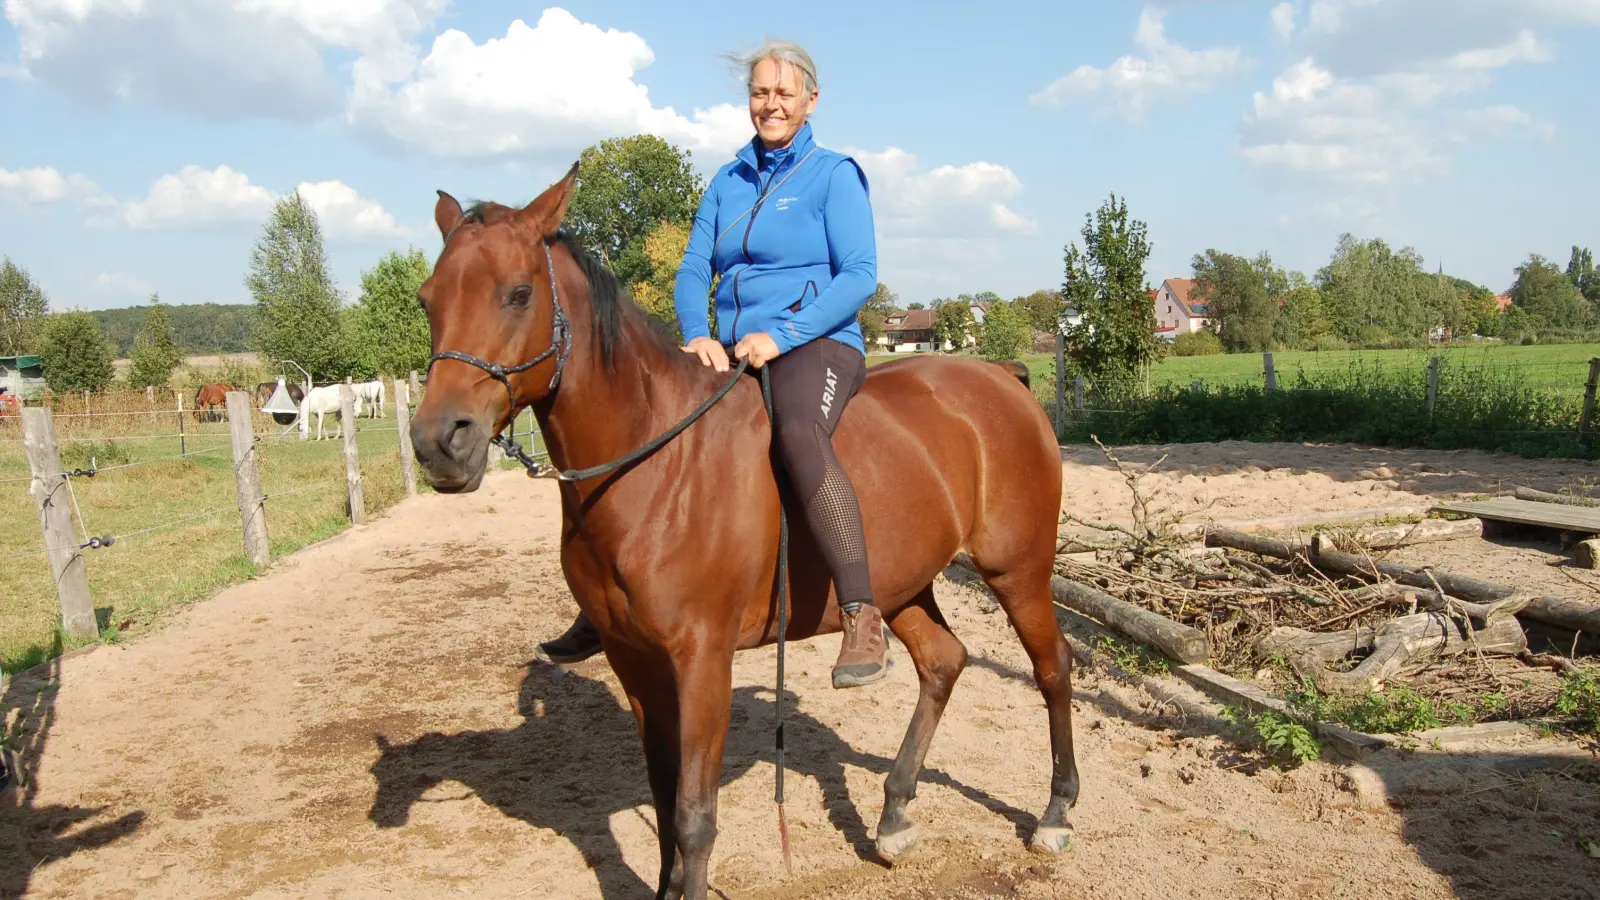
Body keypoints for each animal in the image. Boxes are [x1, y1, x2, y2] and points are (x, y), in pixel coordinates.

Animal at [408, 170, 1076, 900]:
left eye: (519, 293)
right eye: (427, 299)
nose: (438, 442)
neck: (656, 465)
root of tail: (1001, 377)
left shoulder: (703, 660)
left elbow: (695, 817)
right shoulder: (633, 659)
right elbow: (664, 805)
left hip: (1018, 570)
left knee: (1052, 668)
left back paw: (1055, 813)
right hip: (903, 585)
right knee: (943, 663)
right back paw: (895, 814)